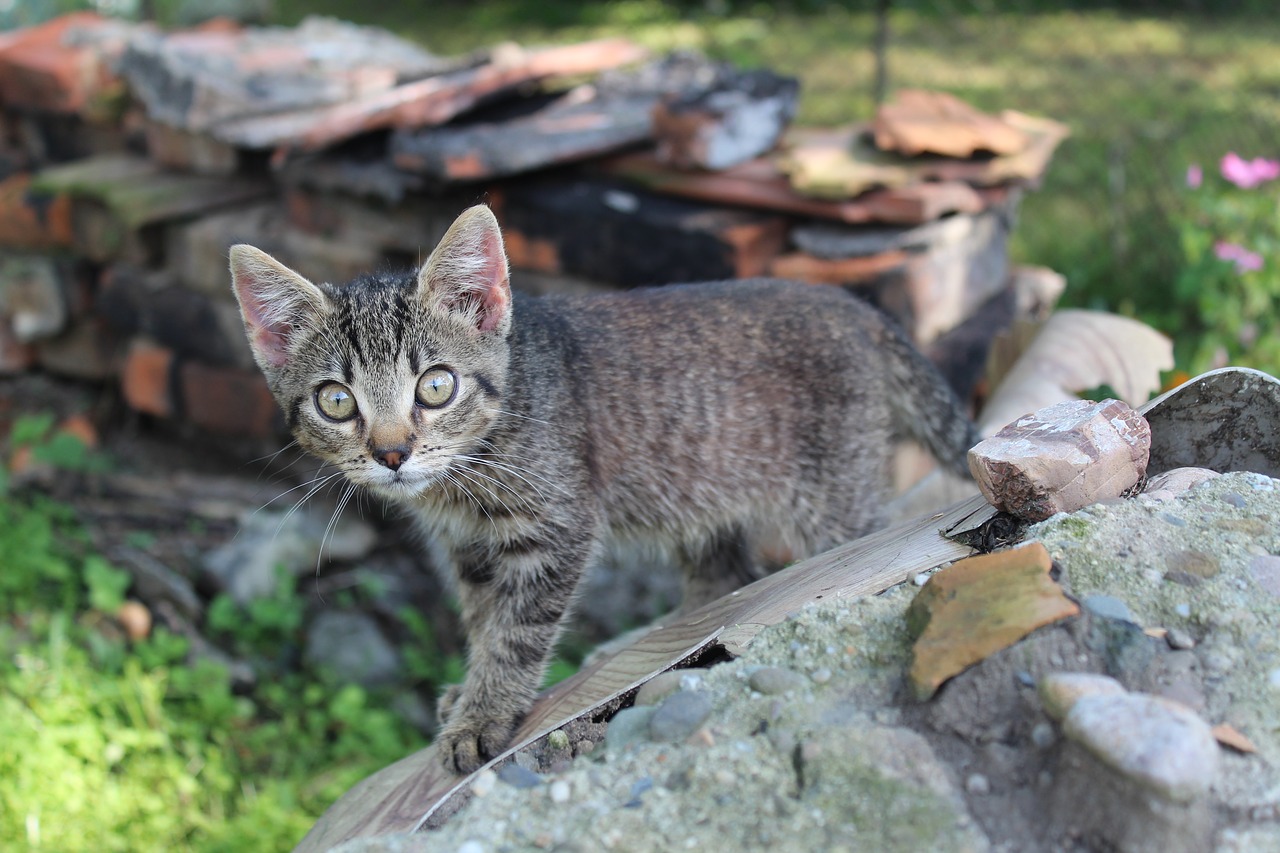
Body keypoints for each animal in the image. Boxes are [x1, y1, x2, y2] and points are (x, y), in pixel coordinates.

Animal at [227, 204, 977, 768]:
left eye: (435, 386)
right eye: (335, 402)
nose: (391, 453)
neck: (473, 467)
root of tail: (857, 306)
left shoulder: (556, 526)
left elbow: (516, 631)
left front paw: (484, 713)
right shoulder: (469, 546)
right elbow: (483, 618)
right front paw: (468, 689)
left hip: (831, 496)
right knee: (728, 573)